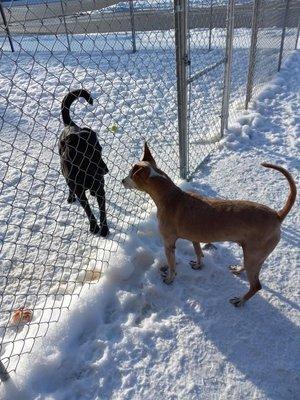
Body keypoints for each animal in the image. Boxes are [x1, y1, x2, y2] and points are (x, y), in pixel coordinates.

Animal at [58, 89, 109, 236]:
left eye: (100, 150)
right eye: (89, 154)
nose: (106, 171)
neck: (85, 171)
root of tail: (71, 125)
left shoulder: (100, 189)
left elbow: (102, 211)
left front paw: (104, 228)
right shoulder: (80, 192)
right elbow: (88, 210)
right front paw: (94, 227)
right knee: (70, 186)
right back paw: (71, 196)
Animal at [123, 143, 296, 306]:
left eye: (131, 175)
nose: (122, 181)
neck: (170, 195)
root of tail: (277, 215)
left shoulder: (169, 243)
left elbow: (172, 266)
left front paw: (170, 279)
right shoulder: (194, 237)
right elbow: (198, 252)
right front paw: (199, 265)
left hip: (254, 254)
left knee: (256, 286)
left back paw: (240, 301)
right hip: (252, 254)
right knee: (248, 268)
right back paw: (238, 270)